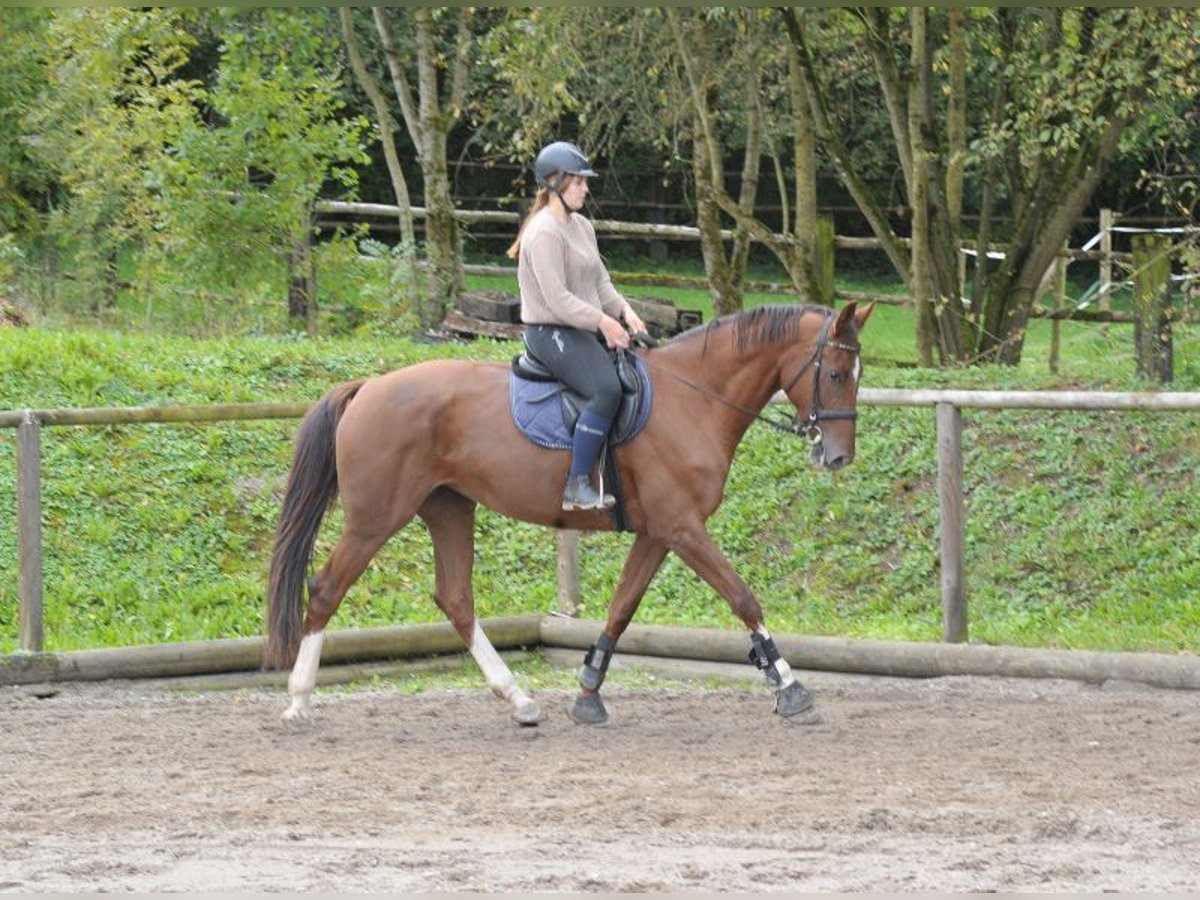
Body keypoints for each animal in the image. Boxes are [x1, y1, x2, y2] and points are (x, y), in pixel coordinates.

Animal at [267, 301, 878, 724]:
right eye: (836, 374)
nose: (838, 456)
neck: (695, 398)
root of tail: (369, 386)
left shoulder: (658, 533)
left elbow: (621, 608)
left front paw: (588, 691)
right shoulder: (683, 528)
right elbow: (742, 597)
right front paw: (789, 686)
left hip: (448, 509)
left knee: (456, 599)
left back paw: (518, 699)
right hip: (376, 517)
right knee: (327, 588)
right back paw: (298, 701)